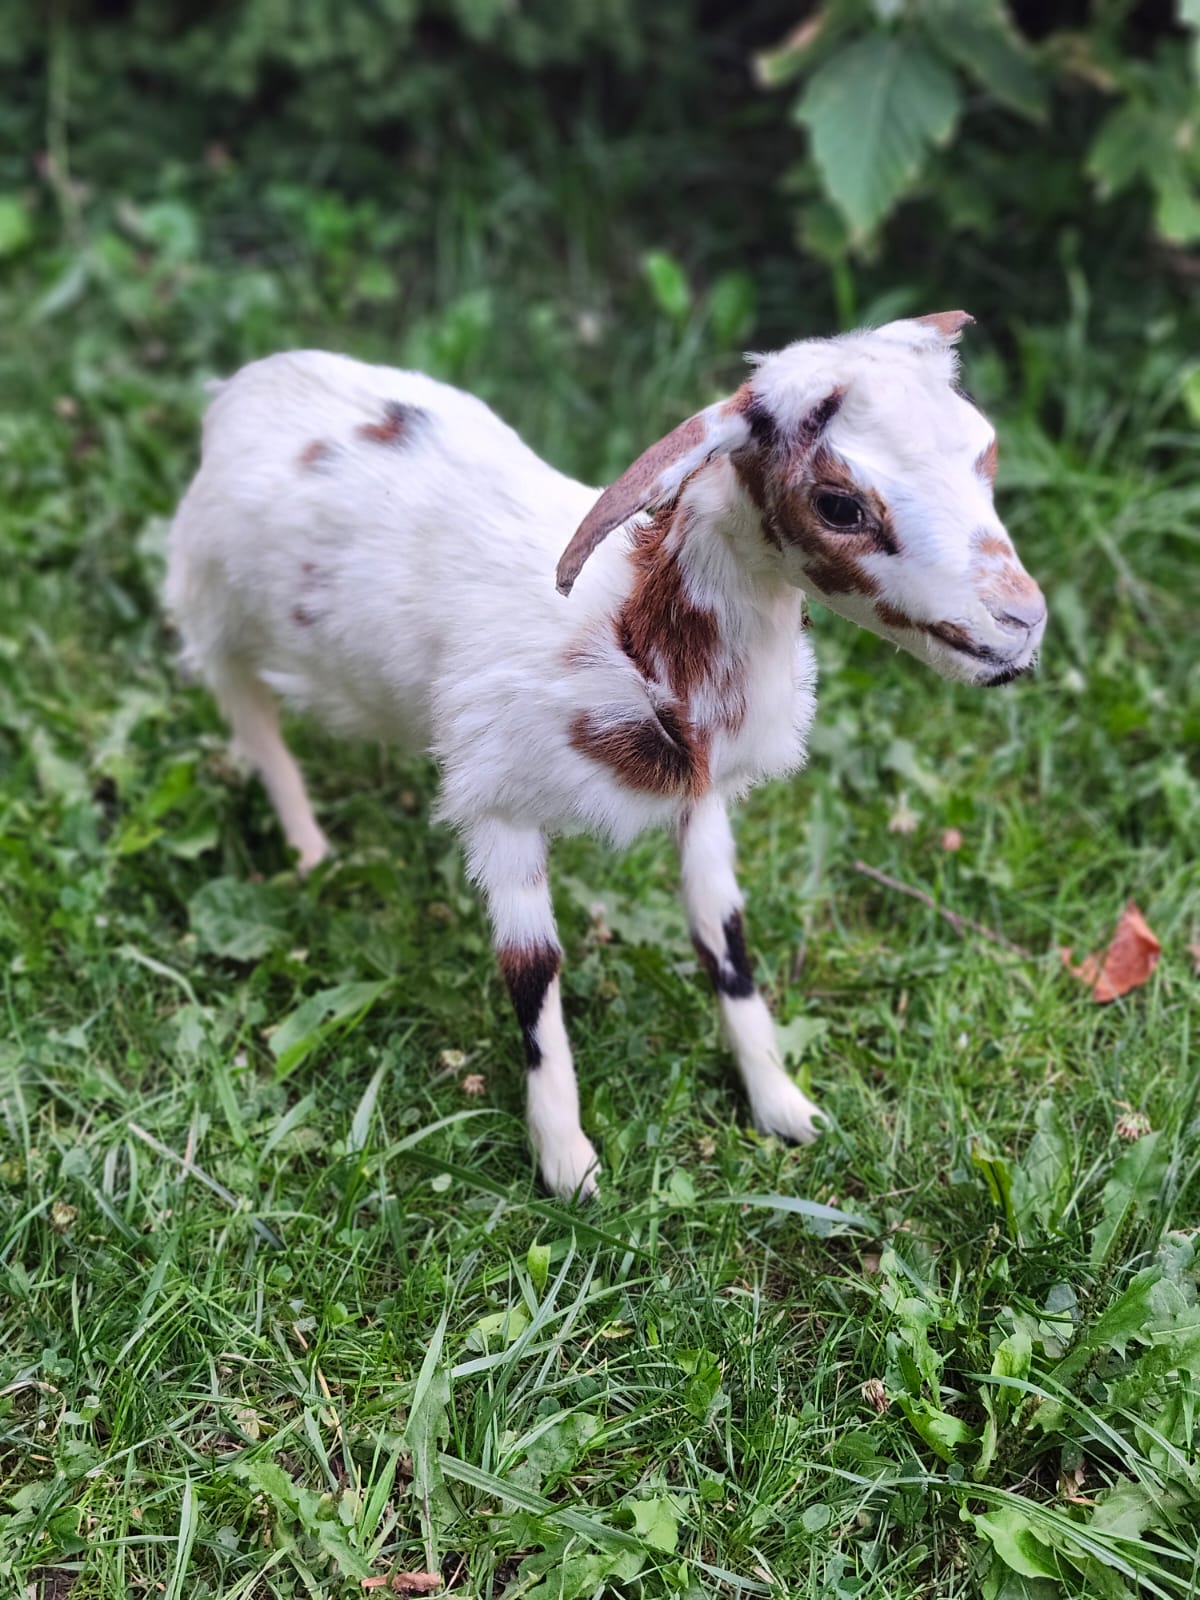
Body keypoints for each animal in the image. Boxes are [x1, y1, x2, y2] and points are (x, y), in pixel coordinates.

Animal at [165, 312, 1046, 1199]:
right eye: (838, 504)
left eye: (985, 453)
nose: (1023, 622)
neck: (630, 633)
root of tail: (243, 386)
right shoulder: (500, 804)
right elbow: (532, 971)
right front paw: (569, 1166)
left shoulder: (703, 801)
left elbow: (723, 936)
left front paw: (783, 1106)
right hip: (213, 613)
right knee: (258, 727)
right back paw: (311, 852)